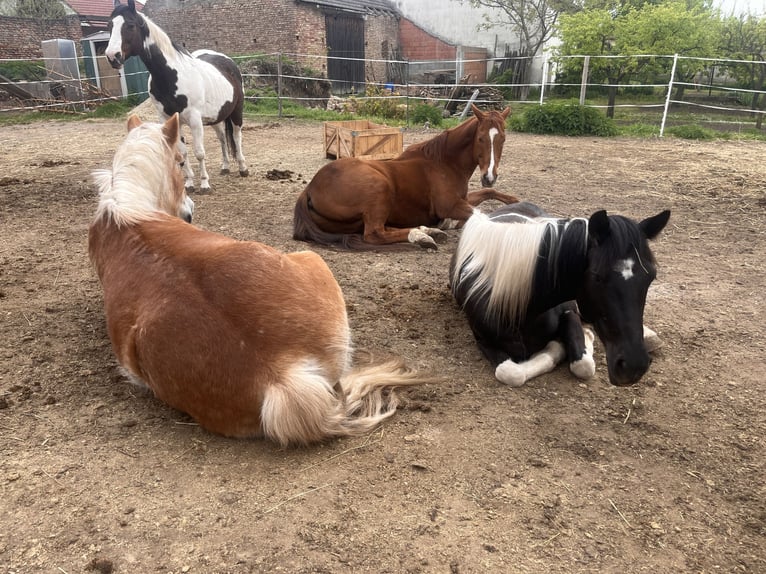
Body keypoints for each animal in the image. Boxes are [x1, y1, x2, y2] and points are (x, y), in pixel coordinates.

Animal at [106, 0, 248, 193]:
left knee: (236, 136)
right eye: (110, 25)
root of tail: (228, 61)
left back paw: (243, 168)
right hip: (216, 117)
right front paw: (189, 184)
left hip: (236, 112)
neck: (171, 76)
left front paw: (204, 184)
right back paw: (225, 167)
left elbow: (199, 152)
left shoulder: (194, 119)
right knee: (222, 138)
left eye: (130, 25)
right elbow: (182, 152)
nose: (112, 56)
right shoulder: (169, 118)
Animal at [293, 104, 519, 250]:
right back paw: (421, 237)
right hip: (379, 189)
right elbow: (482, 214)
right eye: (480, 138)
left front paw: (513, 200)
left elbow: (488, 192)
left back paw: (428, 232)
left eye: (503, 139)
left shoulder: (462, 200)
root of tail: (309, 189)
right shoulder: (450, 205)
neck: (445, 163)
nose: (489, 175)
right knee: (375, 234)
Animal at [449, 201, 670, 387]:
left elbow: (582, 365)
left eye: (651, 277)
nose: (634, 366)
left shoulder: (570, 312)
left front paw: (581, 339)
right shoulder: (482, 340)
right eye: (598, 276)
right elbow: (511, 373)